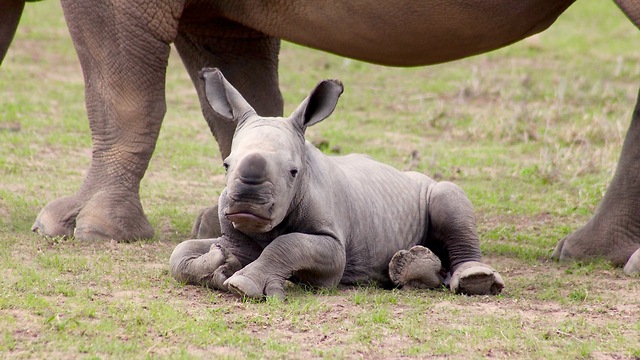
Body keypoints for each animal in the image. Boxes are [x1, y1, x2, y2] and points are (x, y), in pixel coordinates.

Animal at [0, 0, 636, 272]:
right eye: (227, 168)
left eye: (295, 171)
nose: (244, 198)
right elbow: (240, 96)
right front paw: (210, 226)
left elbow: (122, 96)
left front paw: (83, 229)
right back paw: (590, 255)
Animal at [170, 67, 504, 298]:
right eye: (226, 164)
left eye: (293, 172)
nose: (247, 203)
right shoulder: (236, 235)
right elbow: (180, 253)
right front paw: (219, 260)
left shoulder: (333, 248)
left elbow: (287, 244)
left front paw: (242, 284)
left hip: (431, 188)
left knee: (449, 195)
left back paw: (475, 280)